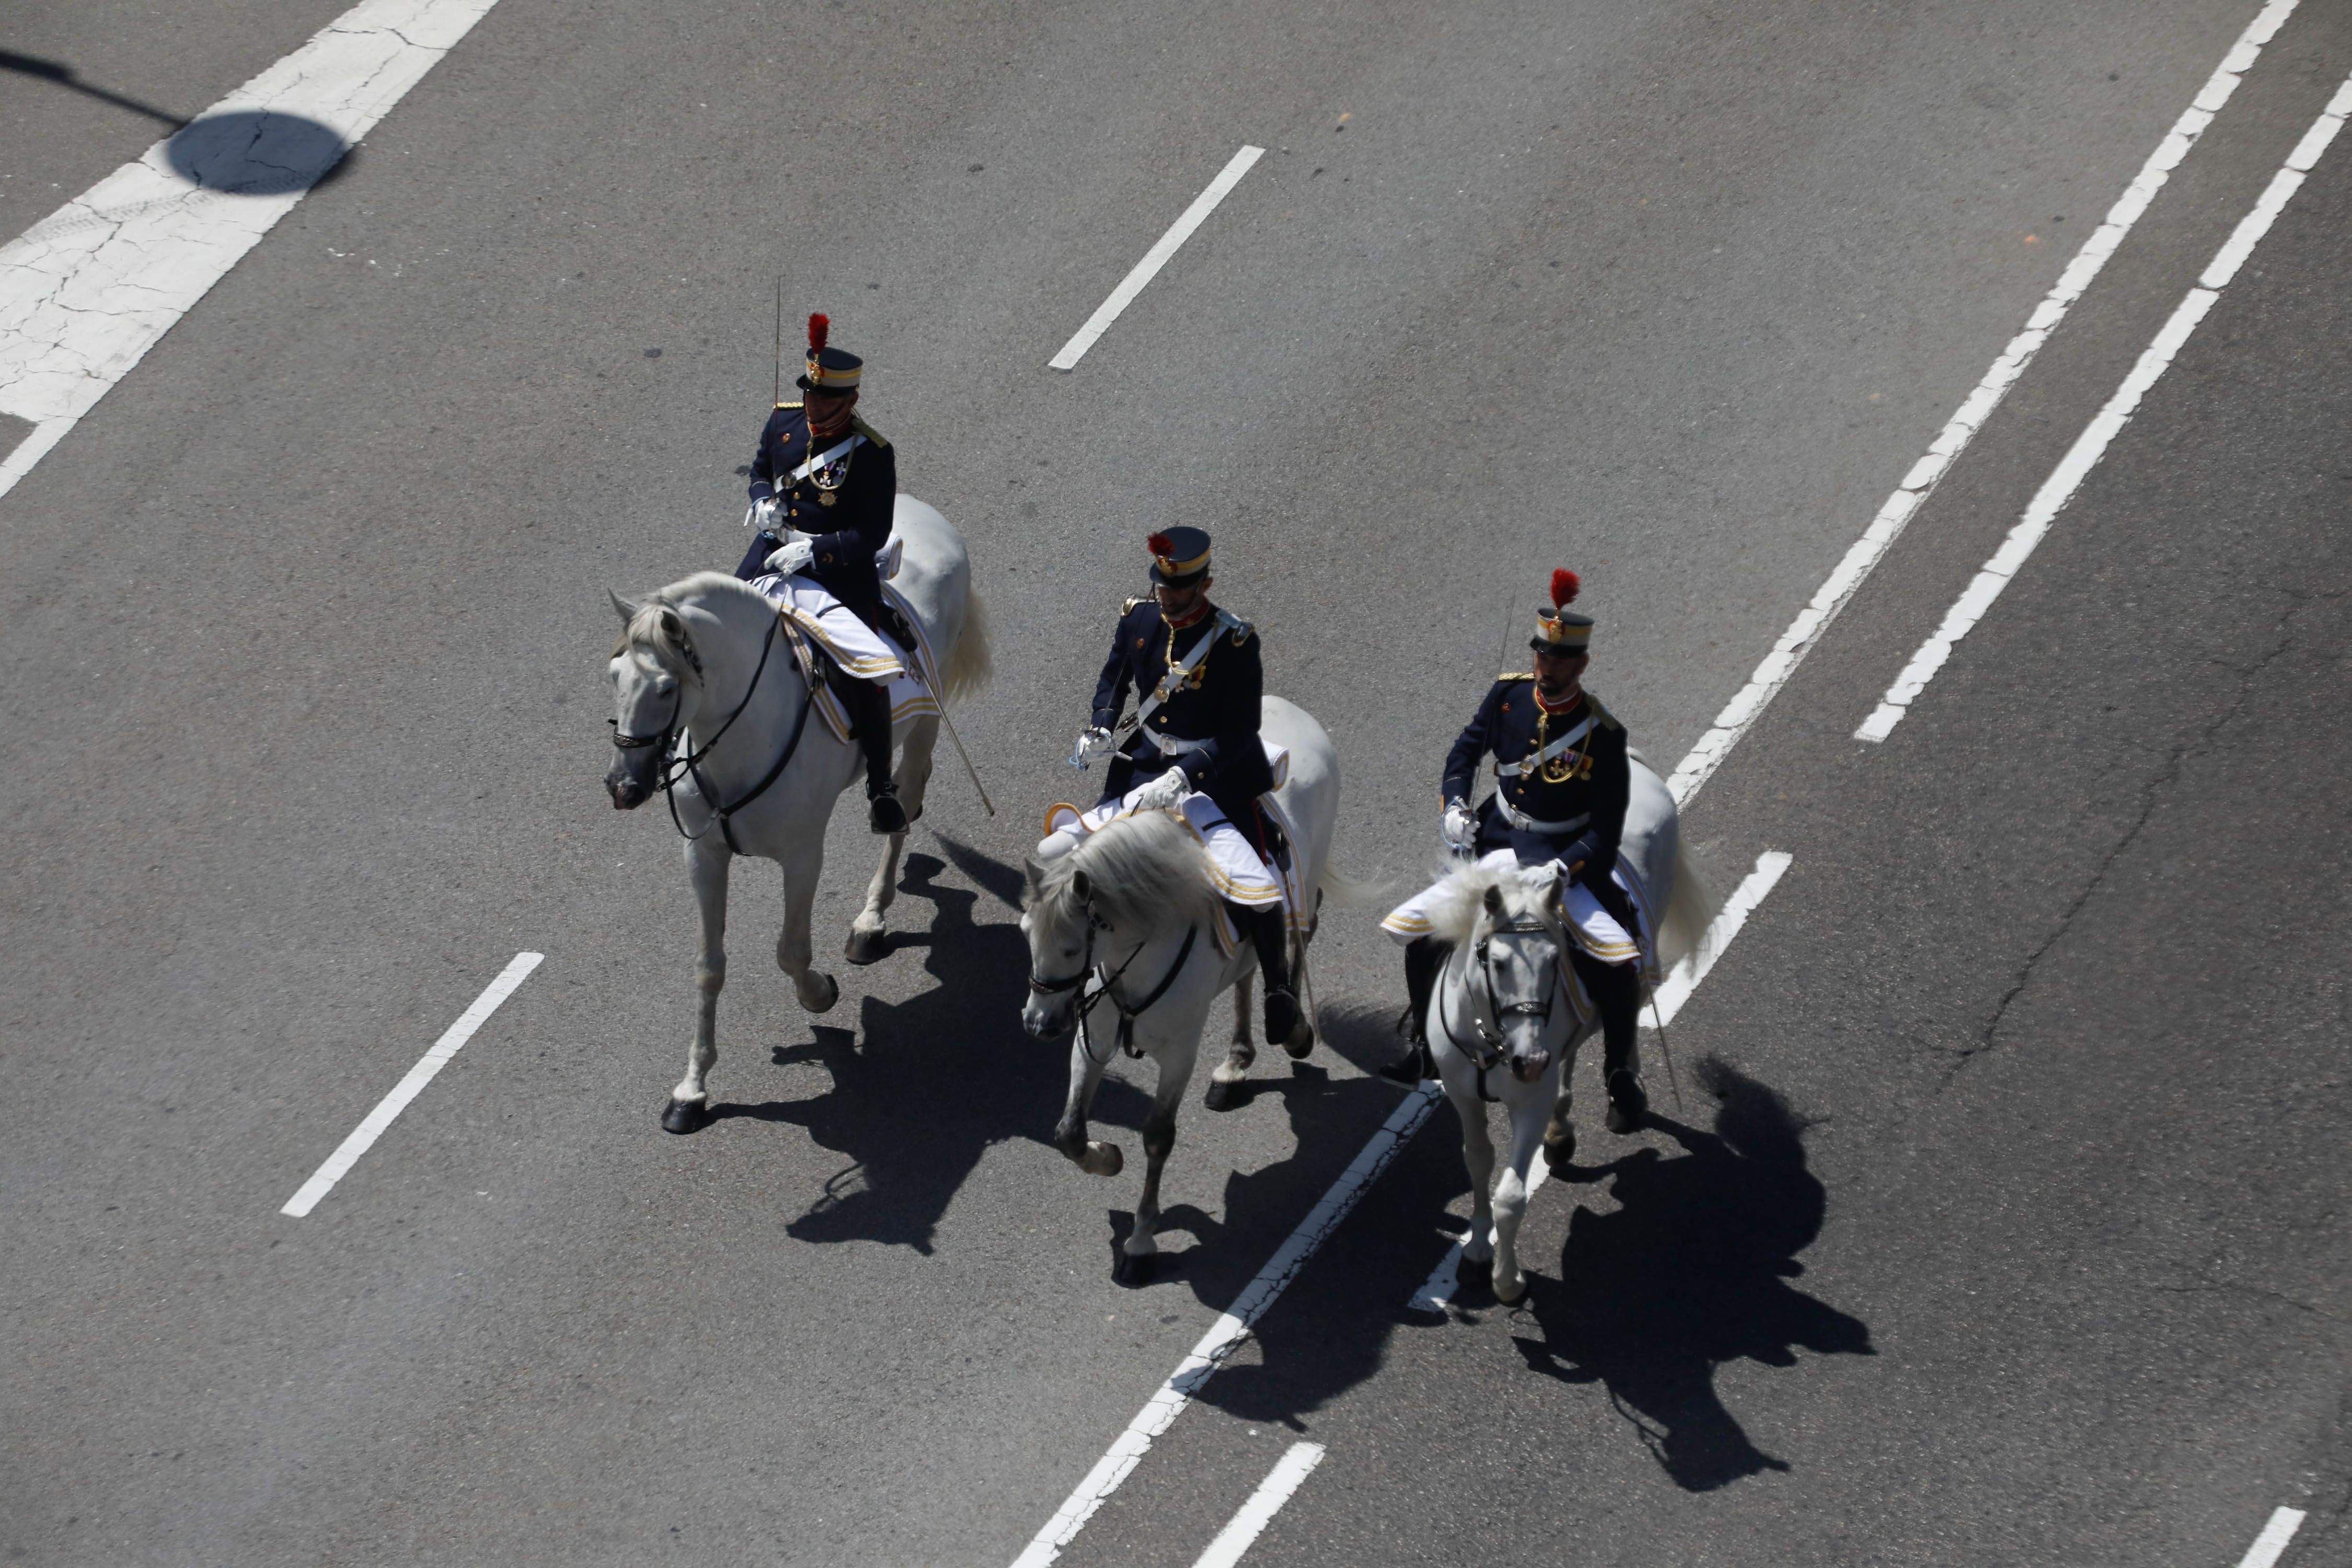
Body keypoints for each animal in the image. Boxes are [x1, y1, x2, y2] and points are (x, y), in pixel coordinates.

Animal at [602, 496, 988, 1133]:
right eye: (614, 678)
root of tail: (920, 511)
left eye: (664, 688)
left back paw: (871, 921)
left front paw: (820, 994)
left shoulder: (804, 855)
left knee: (905, 805)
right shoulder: (703, 855)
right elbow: (708, 966)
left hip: (925, 720)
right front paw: (691, 1090)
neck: (739, 735)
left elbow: (790, 950)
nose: (623, 787)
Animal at [1021, 700, 1355, 1288]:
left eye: (1070, 947)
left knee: (1297, 931)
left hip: (1298, 880)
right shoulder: (1091, 1040)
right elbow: (1068, 1131)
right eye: (1024, 934)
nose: (1038, 1024)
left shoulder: (1177, 1053)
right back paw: (1235, 1066)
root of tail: (1288, 710)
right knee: (1248, 970)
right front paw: (1107, 1157)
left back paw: (1290, 1024)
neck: (1135, 945)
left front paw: (1141, 1241)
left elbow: (1158, 1135)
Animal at [1411, 766, 1712, 1307]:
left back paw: (1623, 1095)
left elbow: (1510, 1194)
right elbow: (1478, 1163)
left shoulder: (1527, 1100)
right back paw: (1562, 1130)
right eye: (1497, 962)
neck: (1491, 1042)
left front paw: (1508, 1282)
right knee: (1572, 1056)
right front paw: (1476, 1256)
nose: (1529, 1061)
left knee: (1623, 1017)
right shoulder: (1463, 1094)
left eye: (1557, 959)